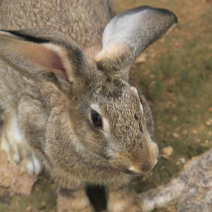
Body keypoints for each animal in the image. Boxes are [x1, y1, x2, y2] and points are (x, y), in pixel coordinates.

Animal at [0, 0, 176, 211]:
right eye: (96, 119)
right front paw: (76, 208)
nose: (145, 164)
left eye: (139, 101)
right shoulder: (40, 138)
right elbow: (69, 188)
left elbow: (120, 187)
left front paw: (129, 206)